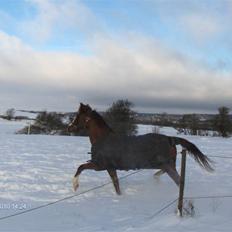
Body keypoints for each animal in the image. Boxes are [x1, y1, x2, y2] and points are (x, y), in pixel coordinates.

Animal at [67, 102, 214, 195]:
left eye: (78, 116)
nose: (69, 127)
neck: (103, 139)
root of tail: (170, 139)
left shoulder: (100, 165)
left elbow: (80, 167)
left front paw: (75, 186)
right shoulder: (110, 168)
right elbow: (116, 185)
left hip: (167, 165)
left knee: (178, 181)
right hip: (166, 165)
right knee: (167, 176)